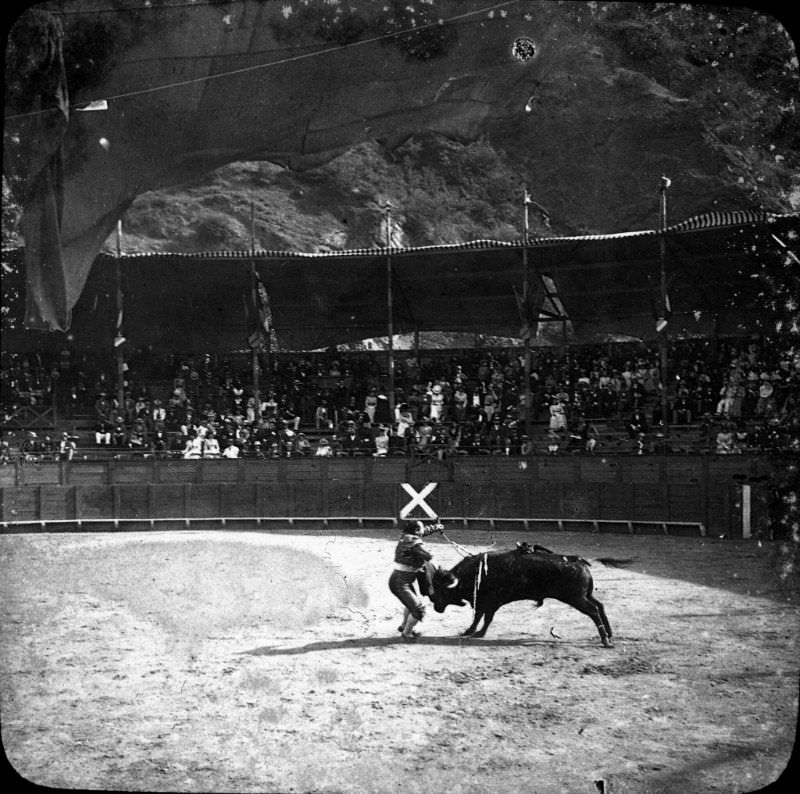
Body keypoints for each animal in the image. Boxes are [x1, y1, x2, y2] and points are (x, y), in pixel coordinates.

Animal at [422, 548, 616, 648]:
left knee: (594, 611)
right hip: (585, 595)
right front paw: (471, 631)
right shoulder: (486, 603)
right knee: (600, 606)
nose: (436, 606)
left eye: (442, 590)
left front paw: (476, 633)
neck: (475, 573)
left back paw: (605, 640)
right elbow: (480, 617)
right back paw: (609, 634)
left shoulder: (489, 602)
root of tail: (578, 560)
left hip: (576, 598)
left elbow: (484, 618)